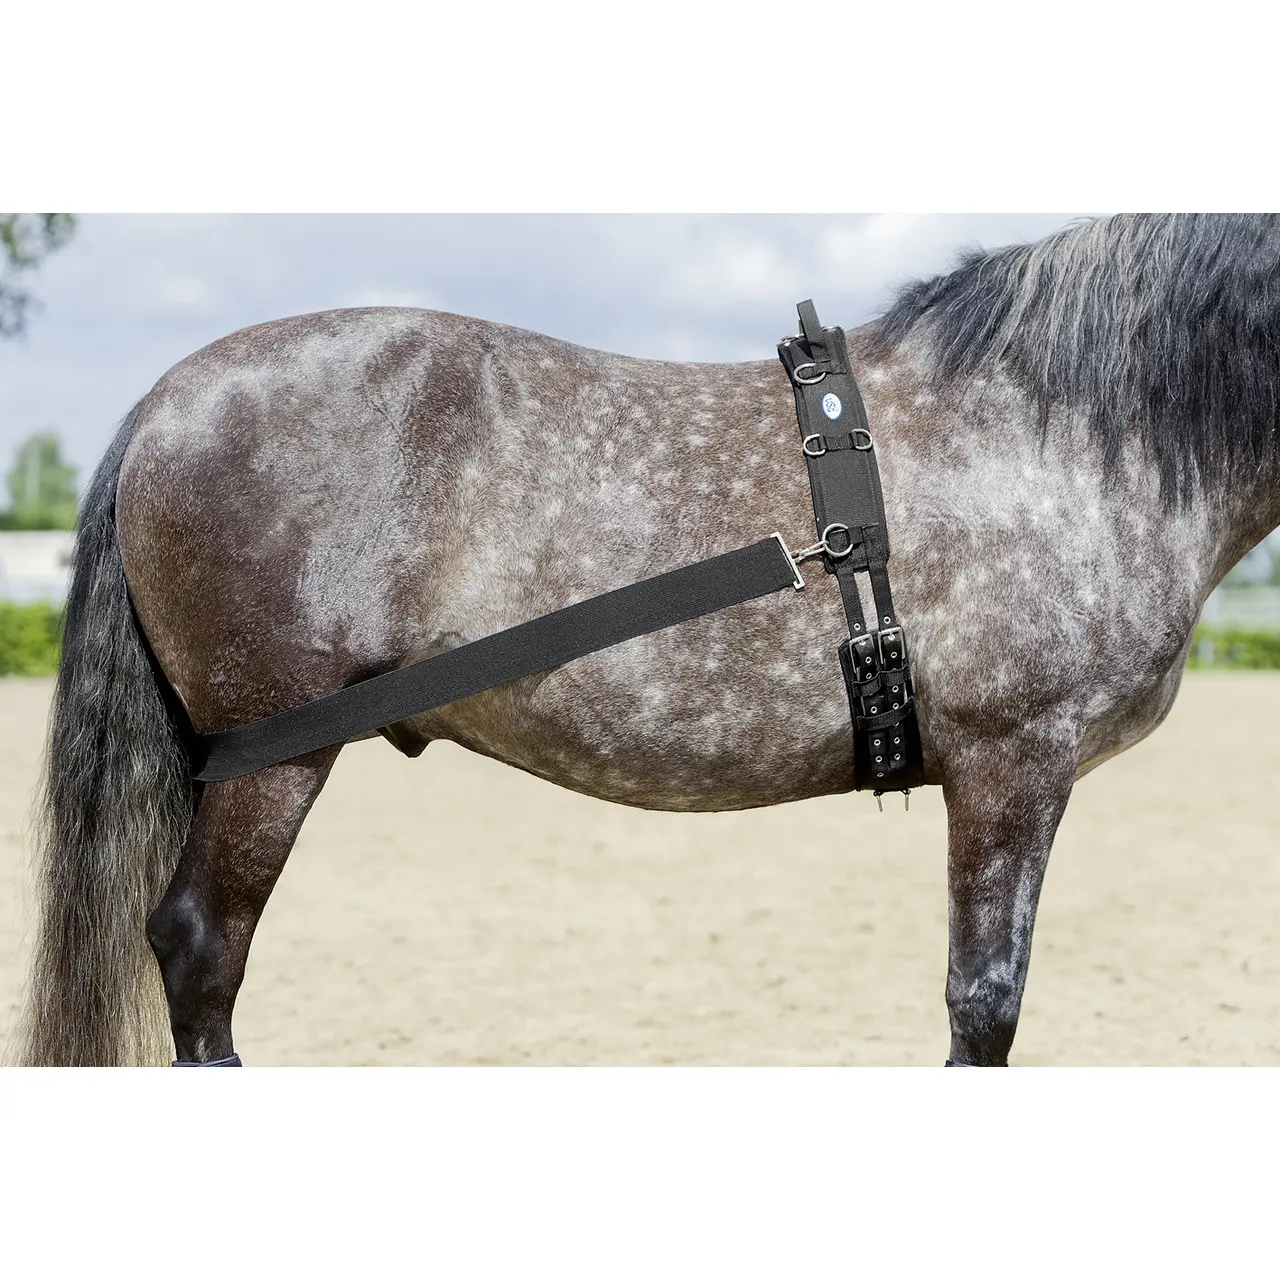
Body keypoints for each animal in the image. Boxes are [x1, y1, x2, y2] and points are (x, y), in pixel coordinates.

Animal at [17, 212, 1280, 1067]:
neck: (1062, 427)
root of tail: (169, 399)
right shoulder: (1009, 761)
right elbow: (984, 1004)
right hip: (271, 760)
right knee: (199, 949)